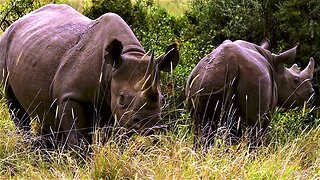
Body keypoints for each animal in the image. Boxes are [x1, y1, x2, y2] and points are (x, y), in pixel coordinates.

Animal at [0, 4, 180, 147]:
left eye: (163, 100)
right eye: (122, 98)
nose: (148, 125)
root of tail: (18, 22)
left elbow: (115, 139)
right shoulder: (71, 95)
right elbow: (78, 138)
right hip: (5, 43)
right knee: (13, 102)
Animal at [186, 39, 314, 148]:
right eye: (296, 80)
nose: (311, 92)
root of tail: (231, 65)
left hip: (205, 80)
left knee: (200, 128)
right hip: (255, 80)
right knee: (254, 130)